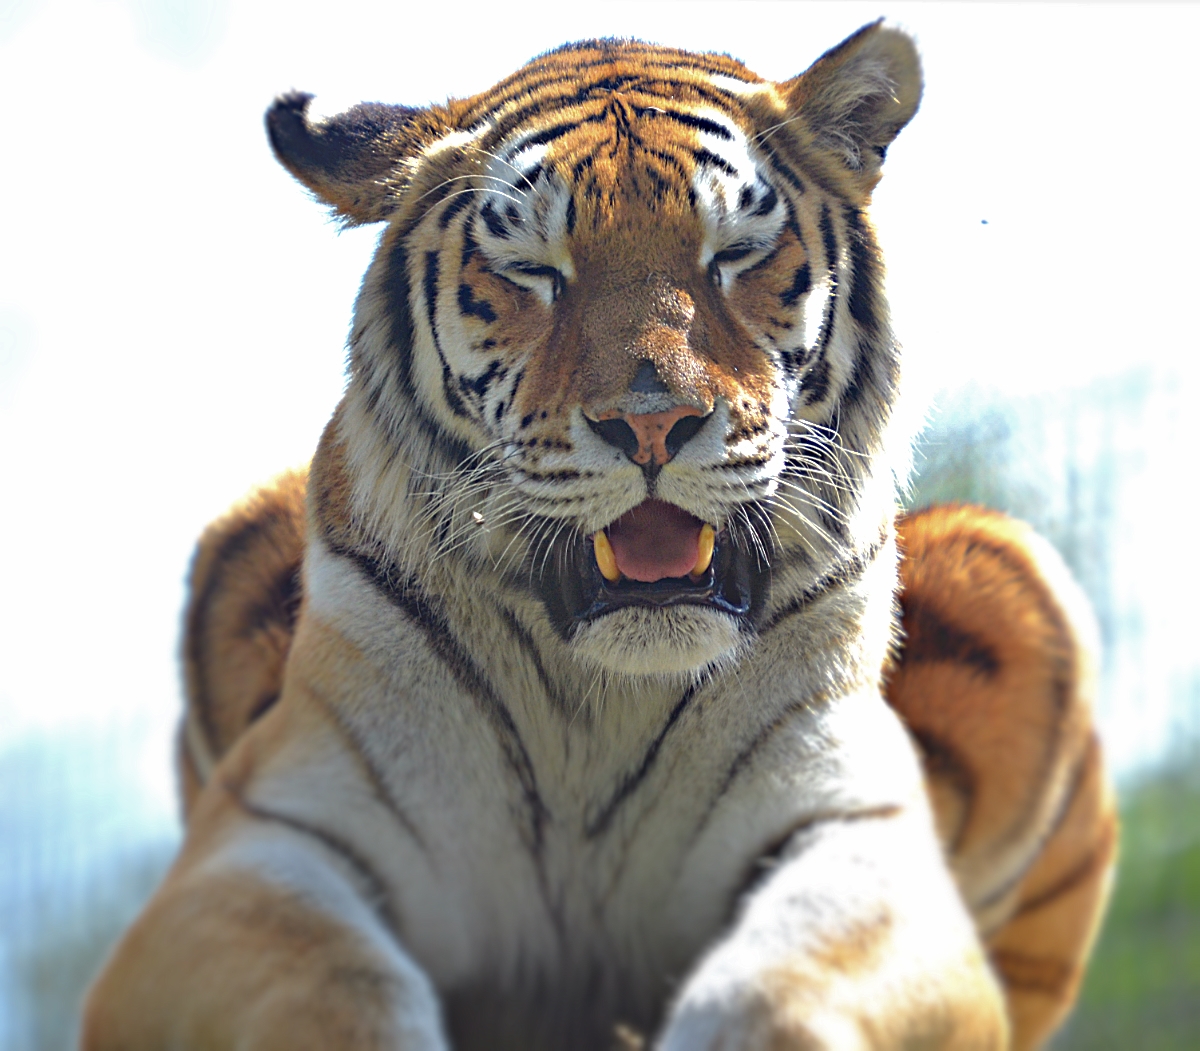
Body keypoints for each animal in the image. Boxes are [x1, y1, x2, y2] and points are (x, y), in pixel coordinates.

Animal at [82, 22, 1115, 1051]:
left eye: (735, 253)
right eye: (535, 271)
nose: (653, 423)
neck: (604, 699)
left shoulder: (854, 826)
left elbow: (775, 991)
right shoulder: (262, 839)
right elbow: (330, 988)